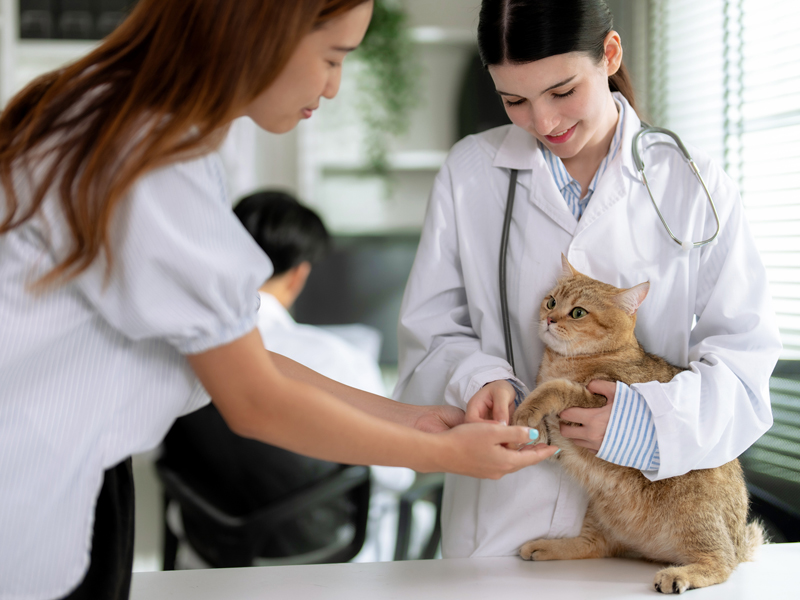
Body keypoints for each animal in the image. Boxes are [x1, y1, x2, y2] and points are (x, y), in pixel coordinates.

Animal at [512, 255, 764, 592]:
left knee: (722, 563)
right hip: (600, 513)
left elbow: (557, 388)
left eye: (577, 312)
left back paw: (679, 574)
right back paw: (548, 546)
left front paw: (528, 409)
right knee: (595, 544)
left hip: (694, 511)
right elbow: (547, 418)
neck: (560, 362)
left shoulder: (602, 399)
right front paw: (534, 427)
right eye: (551, 301)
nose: (549, 319)